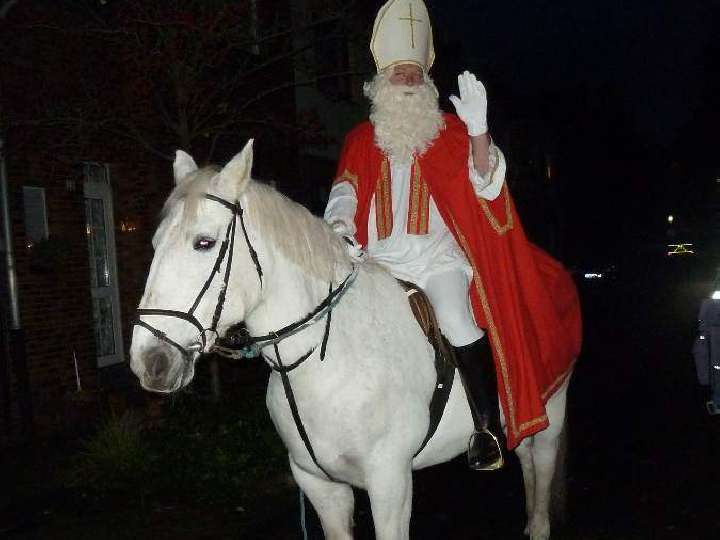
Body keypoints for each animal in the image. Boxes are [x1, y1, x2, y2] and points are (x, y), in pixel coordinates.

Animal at [128, 141, 568, 540]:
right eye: (154, 245)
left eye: (204, 242)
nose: (150, 361)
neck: (329, 362)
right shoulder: (319, 484)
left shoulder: (391, 482)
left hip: (551, 413)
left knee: (542, 473)